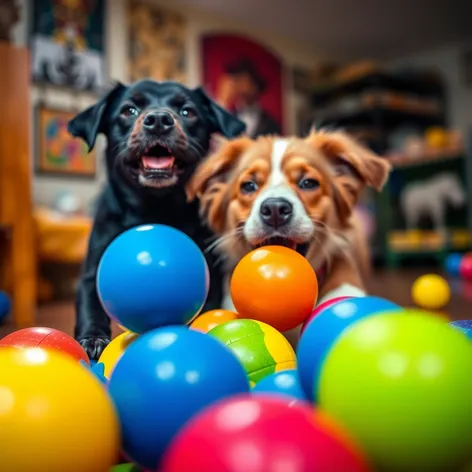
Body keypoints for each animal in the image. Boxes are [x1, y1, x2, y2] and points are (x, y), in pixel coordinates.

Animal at [69, 80, 247, 362]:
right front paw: (92, 339)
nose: (159, 120)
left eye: (187, 111)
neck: (155, 208)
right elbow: (90, 307)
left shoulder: (211, 276)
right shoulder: (90, 273)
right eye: (128, 110)